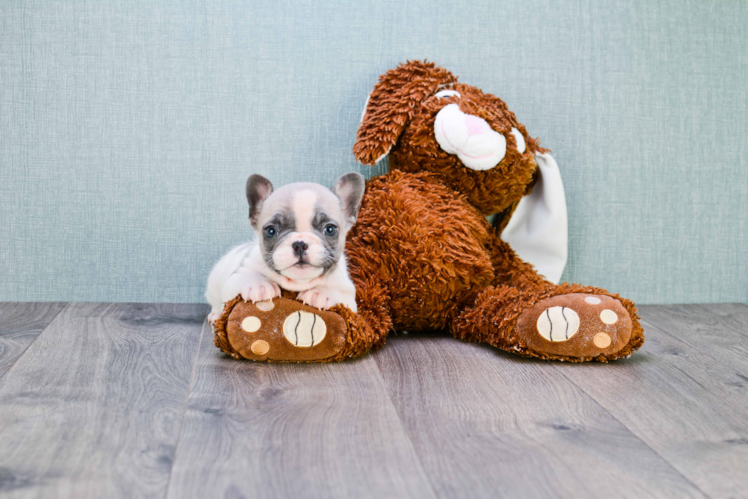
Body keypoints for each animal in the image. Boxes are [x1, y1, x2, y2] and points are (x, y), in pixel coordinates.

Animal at [206, 172, 366, 322]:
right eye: (271, 231)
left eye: (330, 229)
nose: (300, 244)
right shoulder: (235, 277)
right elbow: (245, 276)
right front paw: (259, 285)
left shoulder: (348, 295)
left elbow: (340, 295)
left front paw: (321, 293)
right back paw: (216, 316)